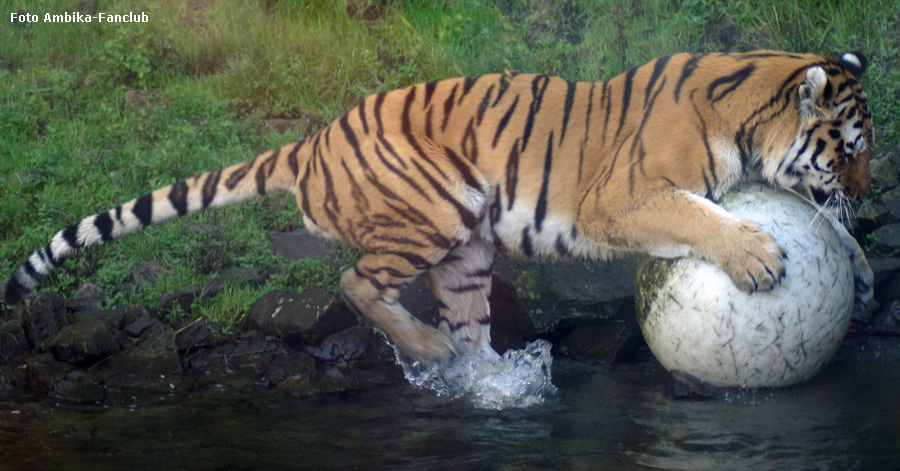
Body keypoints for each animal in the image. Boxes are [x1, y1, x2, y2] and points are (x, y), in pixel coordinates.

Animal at [3, 50, 876, 366]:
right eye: (852, 147)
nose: (870, 192)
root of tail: (311, 142)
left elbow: (819, 224)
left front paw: (862, 266)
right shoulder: (621, 198)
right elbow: (699, 215)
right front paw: (758, 257)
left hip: (467, 252)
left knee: (465, 324)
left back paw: (482, 377)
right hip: (435, 211)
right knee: (356, 282)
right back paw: (424, 347)